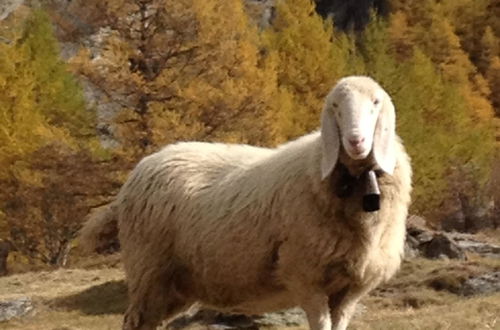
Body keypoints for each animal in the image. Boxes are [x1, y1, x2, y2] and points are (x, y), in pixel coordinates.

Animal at [80, 75, 412, 330]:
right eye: (335, 108)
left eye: (375, 103)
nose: (356, 141)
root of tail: (133, 177)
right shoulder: (306, 276)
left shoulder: (350, 288)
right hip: (148, 270)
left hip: (175, 283)